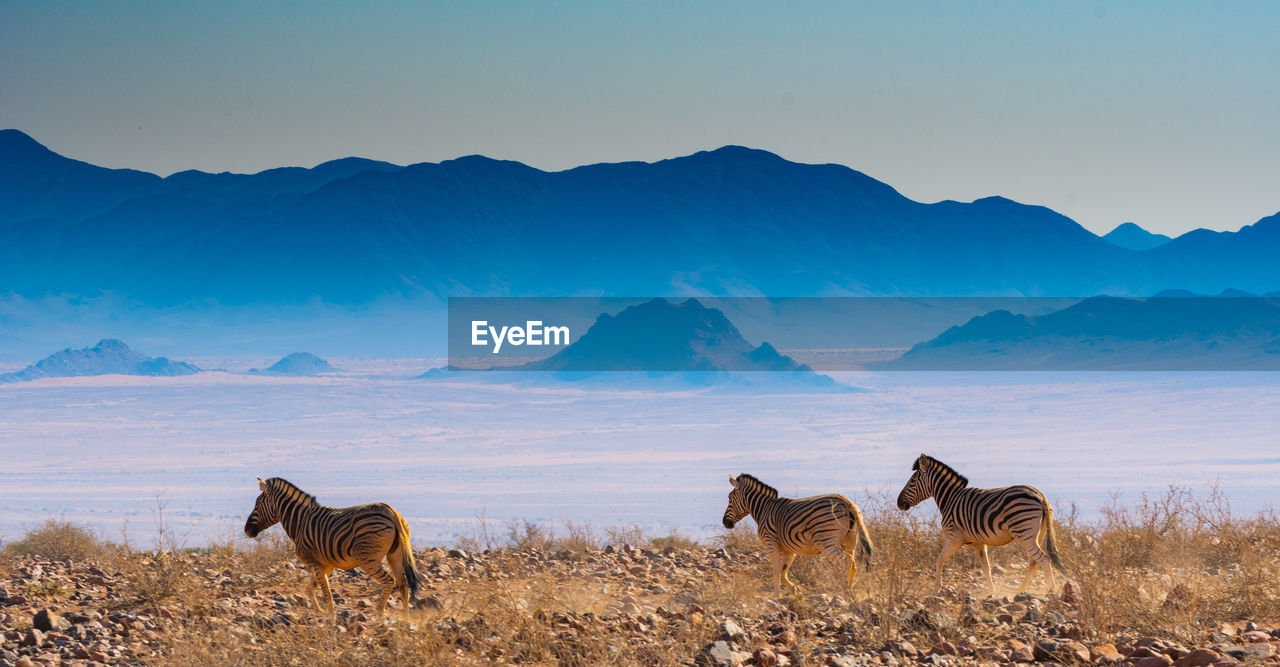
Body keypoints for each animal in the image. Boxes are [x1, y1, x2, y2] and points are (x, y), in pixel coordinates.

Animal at [240, 478, 419, 614]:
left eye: (257, 503)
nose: (247, 530)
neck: (300, 522)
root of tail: (391, 512)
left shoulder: (314, 562)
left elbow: (326, 594)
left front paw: (330, 619)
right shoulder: (326, 564)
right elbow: (311, 589)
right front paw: (320, 611)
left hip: (367, 559)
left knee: (389, 581)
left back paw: (379, 614)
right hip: (395, 555)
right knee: (403, 585)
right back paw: (405, 619)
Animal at [727, 471, 875, 596]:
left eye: (730, 498)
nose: (725, 523)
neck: (764, 509)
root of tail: (847, 503)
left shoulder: (771, 543)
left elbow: (776, 571)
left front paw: (776, 597)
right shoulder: (789, 548)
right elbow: (783, 572)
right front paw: (795, 591)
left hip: (826, 542)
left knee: (847, 560)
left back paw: (845, 588)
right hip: (849, 541)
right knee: (853, 562)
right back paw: (850, 589)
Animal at [901, 453, 1070, 594]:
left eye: (912, 482)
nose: (899, 503)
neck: (950, 499)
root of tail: (1041, 496)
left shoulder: (953, 537)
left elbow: (939, 560)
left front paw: (936, 588)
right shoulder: (979, 543)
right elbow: (986, 567)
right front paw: (991, 591)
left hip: (1024, 533)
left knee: (1043, 559)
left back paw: (1051, 591)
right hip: (1038, 534)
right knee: (1034, 563)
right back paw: (1021, 590)